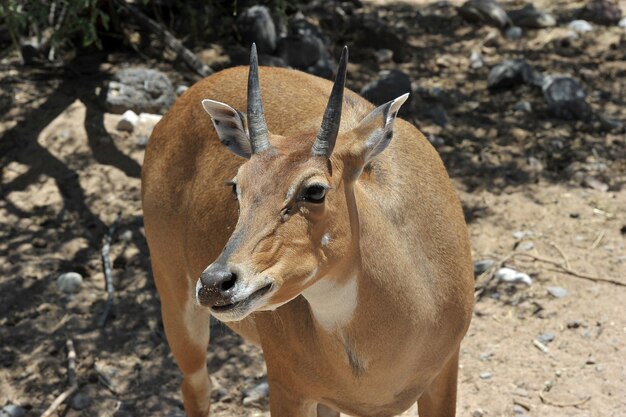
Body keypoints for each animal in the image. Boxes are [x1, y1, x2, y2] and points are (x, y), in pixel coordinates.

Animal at [141, 45, 472, 416]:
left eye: (315, 190)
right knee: (196, 386)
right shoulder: (287, 385)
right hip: (174, 294)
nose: (216, 283)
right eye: (237, 185)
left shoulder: (445, 371)